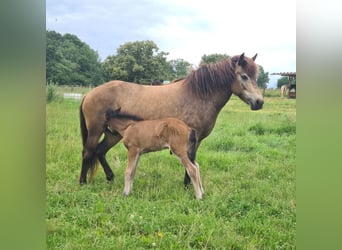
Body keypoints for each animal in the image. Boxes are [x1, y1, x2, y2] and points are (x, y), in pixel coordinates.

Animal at [79, 52, 264, 186]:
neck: (199, 95)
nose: (259, 102)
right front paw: (188, 186)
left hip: (113, 133)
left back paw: (110, 177)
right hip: (96, 131)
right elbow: (191, 160)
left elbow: (192, 161)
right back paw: (83, 182)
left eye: (256, 76)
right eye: (244, 76)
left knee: (100, 151)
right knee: (88, 152)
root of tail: (89, 94)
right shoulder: (194, 138)